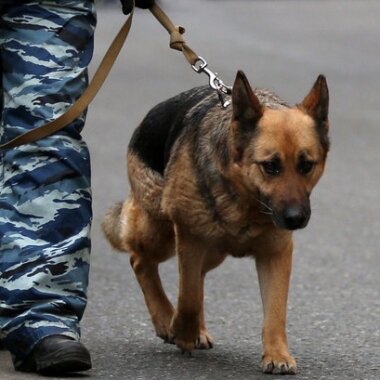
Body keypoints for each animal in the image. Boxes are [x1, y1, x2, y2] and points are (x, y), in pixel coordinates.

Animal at [103, 71, 330, 374]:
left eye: (306, 165)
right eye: (270, 167)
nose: (295, 219)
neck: (244, 201)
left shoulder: (276, 254)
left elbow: (275, 311)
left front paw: (277, 354)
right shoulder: (189, 238)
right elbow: (187, 298)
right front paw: (180, 330)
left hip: (213, 252)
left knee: (195, 277)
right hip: (161, 233)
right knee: (140, 261)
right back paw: (165, 319)